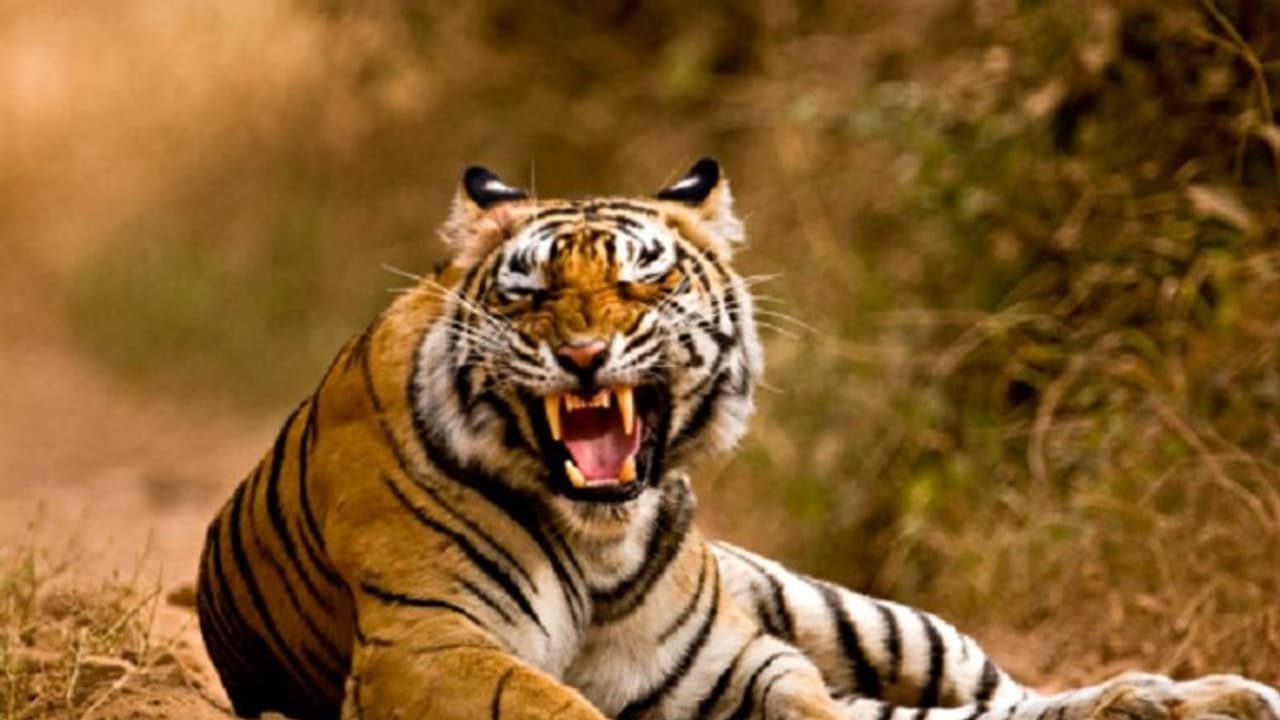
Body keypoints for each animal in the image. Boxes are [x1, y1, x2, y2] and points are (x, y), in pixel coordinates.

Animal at [196, 159, 1280, 720]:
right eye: (530, 292)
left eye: (641, 280)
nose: (584, 355)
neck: (597, 539)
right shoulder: (425, 646)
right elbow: (557, 707)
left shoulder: (729, 662)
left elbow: (808, 698)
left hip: (860, 613)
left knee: (1004, 696)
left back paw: (1195, 696)